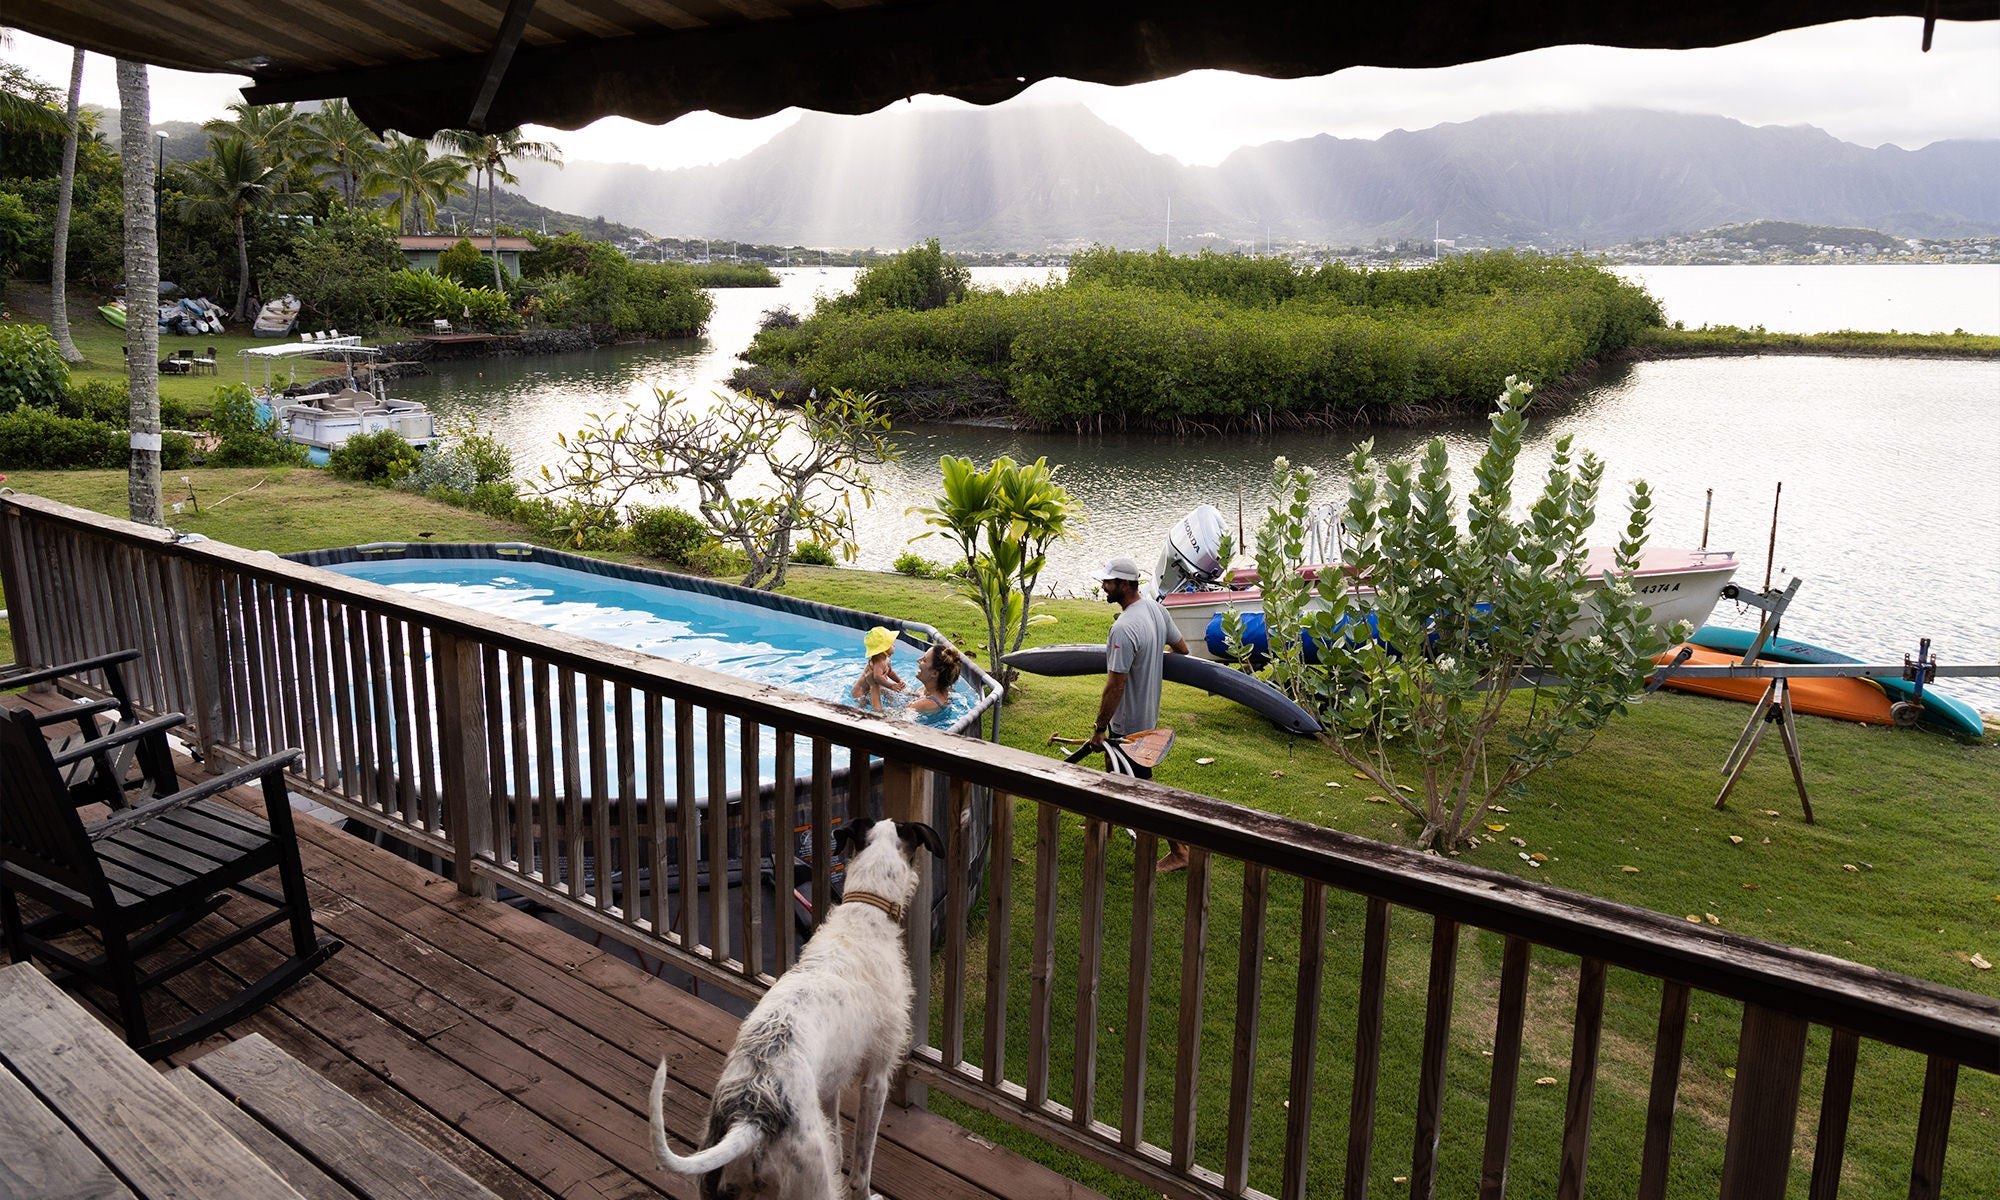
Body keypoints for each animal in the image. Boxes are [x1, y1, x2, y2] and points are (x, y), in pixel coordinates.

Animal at [648, 812, 944, 1192]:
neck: (863, 912)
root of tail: (752, 1116)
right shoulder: (877, 1076)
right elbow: (861, 1170)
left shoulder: (831, 1083)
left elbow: (837, 1139)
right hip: (811, 1179)